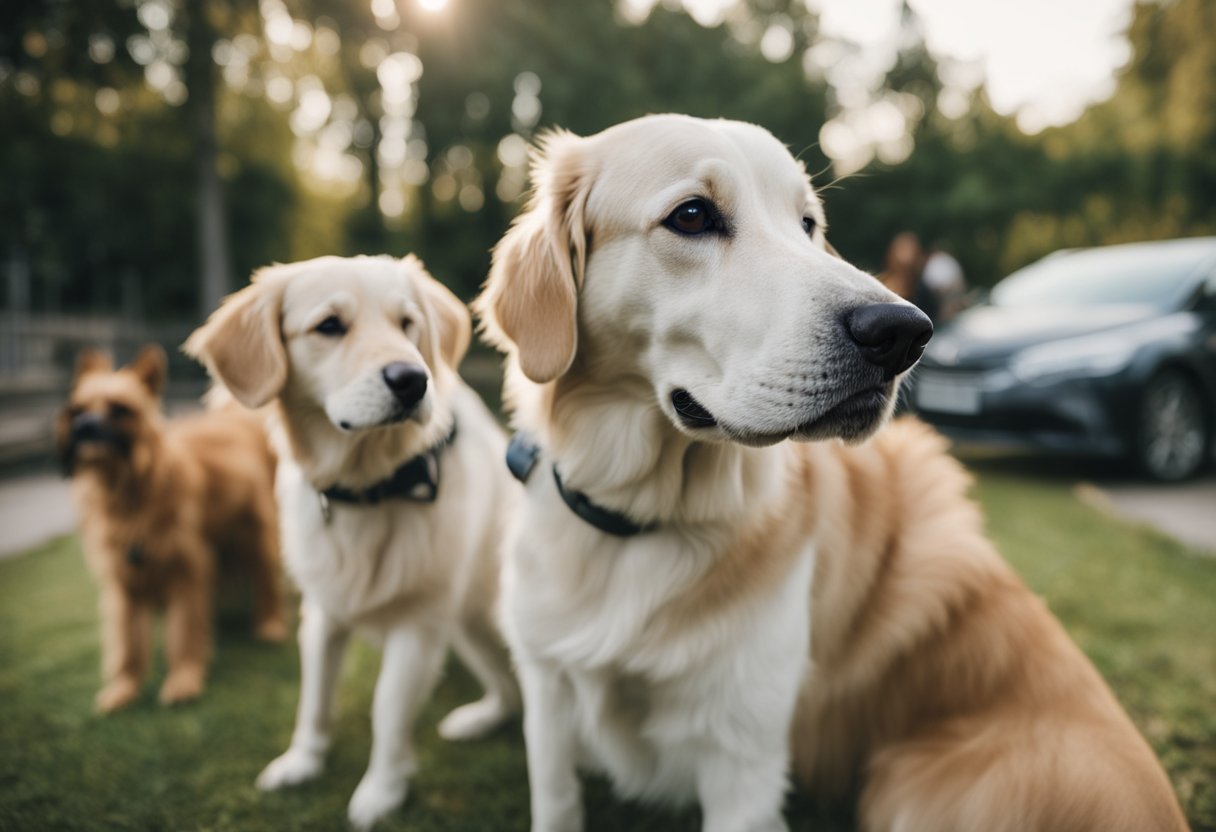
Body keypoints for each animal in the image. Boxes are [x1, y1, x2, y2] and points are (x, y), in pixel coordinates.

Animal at [58, 340, 285, 710]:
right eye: (77, 411)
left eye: (119, 409)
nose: (85, 427)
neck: (129, 494)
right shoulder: (125, 582)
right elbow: (128, 643)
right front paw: (124, 688)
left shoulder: (187, 570)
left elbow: (184, 633)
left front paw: (184, 680)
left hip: (256, 537)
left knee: (267, 582)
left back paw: (270, 625)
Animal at [187, 256, 520, 827]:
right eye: (329, 326)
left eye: (408, 324)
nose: (413, 380)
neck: (372, 488)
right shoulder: (324, 613)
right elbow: (314, 698)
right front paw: (302, 761)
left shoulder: (419, 624)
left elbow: (386, 710)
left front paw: (381, 791)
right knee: (507, 692)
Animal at [474, 115, 1186, 832]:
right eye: (693, 215)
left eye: (808, 224)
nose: (904, 332)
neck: (639, 522)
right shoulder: (548, 697)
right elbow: (557, 801)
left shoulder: (744, 761)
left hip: (906, 786)